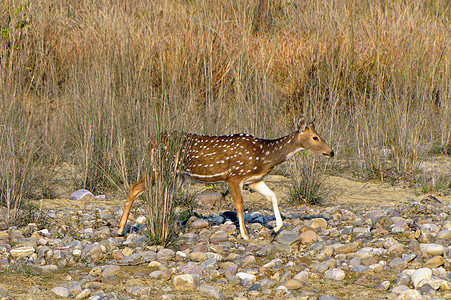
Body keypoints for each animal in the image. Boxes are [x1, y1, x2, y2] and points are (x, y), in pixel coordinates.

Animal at [118, 119, 334, 239]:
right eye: (315, 137)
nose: (331, 152)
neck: (264, 156)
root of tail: (149, 142)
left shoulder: (254, 179)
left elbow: (273, 196)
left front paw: (275, 229)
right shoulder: (234, 176)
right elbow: (239, 204)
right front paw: (245, 235)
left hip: (175, 175)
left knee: (165, 198)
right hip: (161, 168)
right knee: (135, 187)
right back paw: (121, 230)